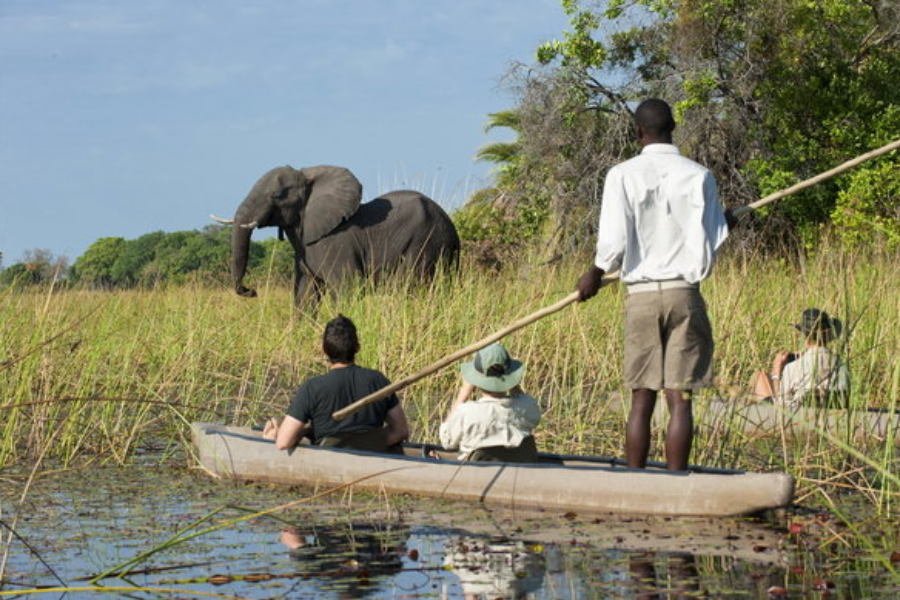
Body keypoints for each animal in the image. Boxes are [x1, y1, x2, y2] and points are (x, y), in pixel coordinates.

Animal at [214, 165, 460, 302]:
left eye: (278, 195)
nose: (251, 291)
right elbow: (305, 294)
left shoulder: (335, 245)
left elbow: (347, 289)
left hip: (427, 240)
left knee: (410, 285)